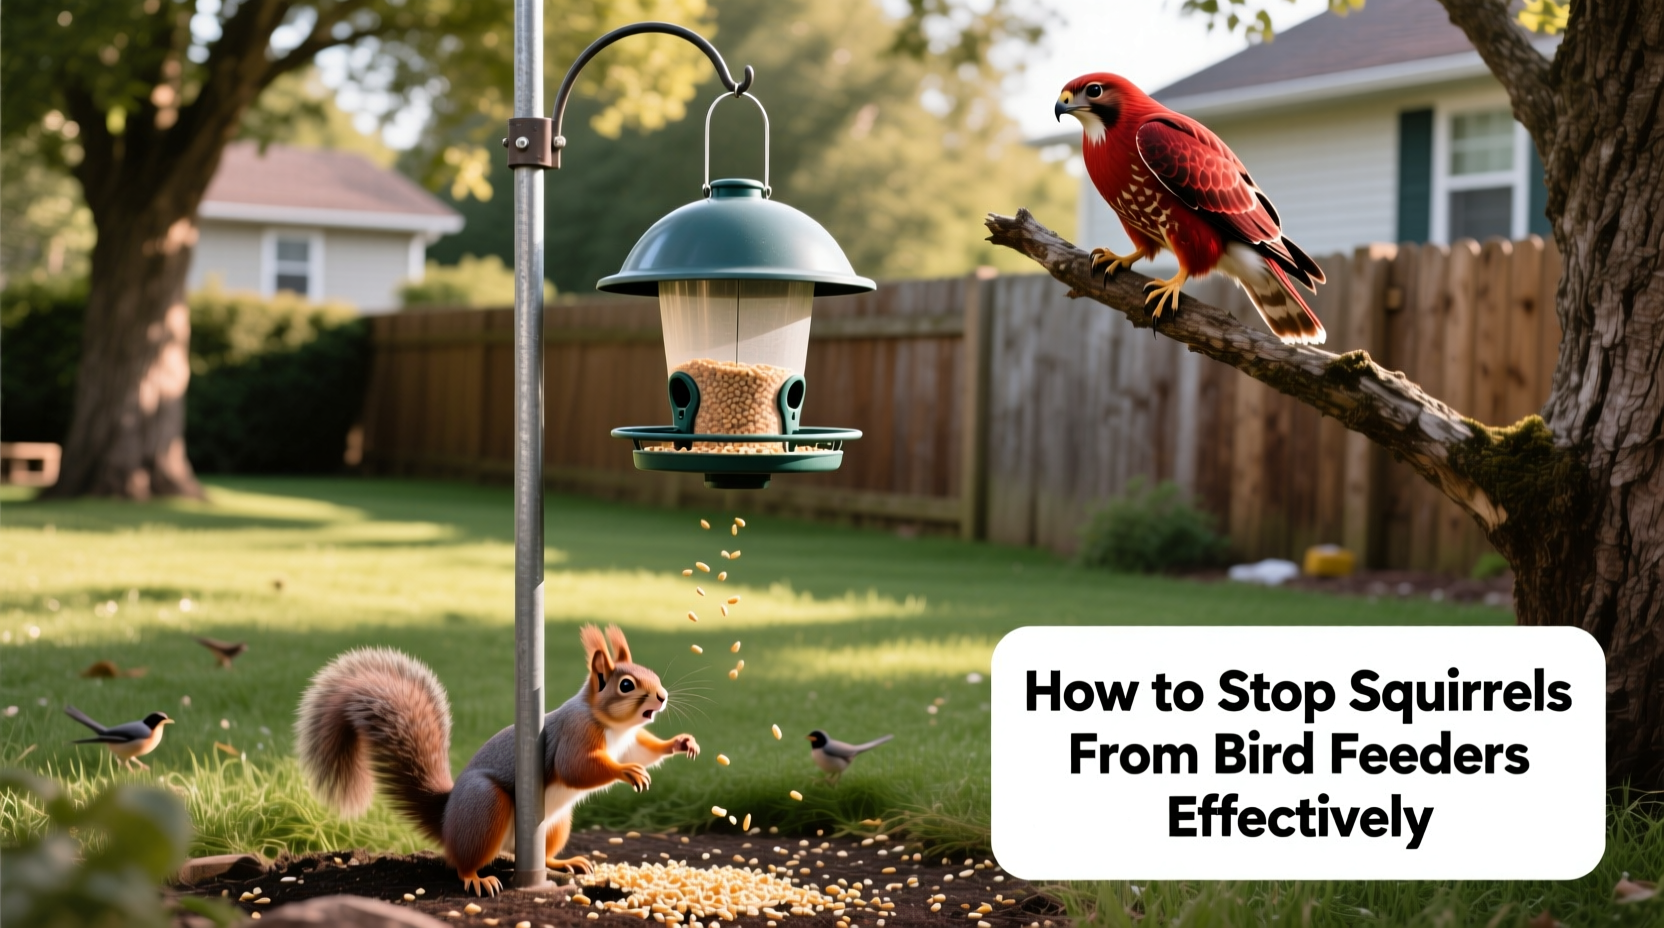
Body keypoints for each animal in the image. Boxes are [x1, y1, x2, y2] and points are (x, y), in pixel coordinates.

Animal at [295, 624, 699, 897]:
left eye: (652, 674)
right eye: (626, 685)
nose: (662, 696)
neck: (611, 726)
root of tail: (447, 820)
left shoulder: (627, 742)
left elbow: (645, 750)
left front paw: (681, 743)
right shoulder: (575, 733)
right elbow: (576, 768)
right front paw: (627, 772)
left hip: (555, 824)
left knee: (542, 855)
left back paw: (563, 863)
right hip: (486, 806)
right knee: (461, 862)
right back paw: (477, 878)